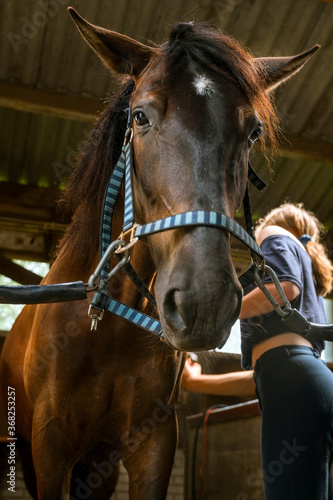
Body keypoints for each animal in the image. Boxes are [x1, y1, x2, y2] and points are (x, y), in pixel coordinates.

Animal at [0, 8, 318, 500]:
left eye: (253, 132)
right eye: (140, 116)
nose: (204, 300)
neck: (103, 324)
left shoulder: (152, 443)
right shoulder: (49, 449)